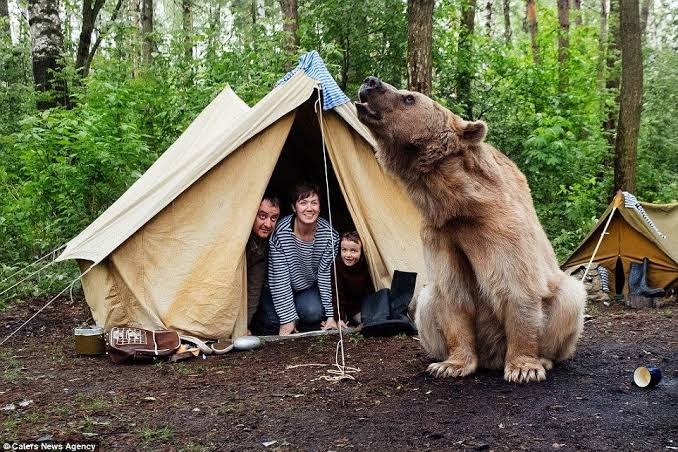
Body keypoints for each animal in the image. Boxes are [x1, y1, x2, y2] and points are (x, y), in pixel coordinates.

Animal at [355, 76, 585, 383]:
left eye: (408, 98)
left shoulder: (500, 227)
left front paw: (524, 368)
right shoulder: (440, 234)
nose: (370, 82)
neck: (456, 202)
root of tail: (493, 356)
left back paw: (544, 358)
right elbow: (452, 293)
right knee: (427, 301)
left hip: (561, 303)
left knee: (569, 295)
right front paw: (449, 365)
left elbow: (517, 285)